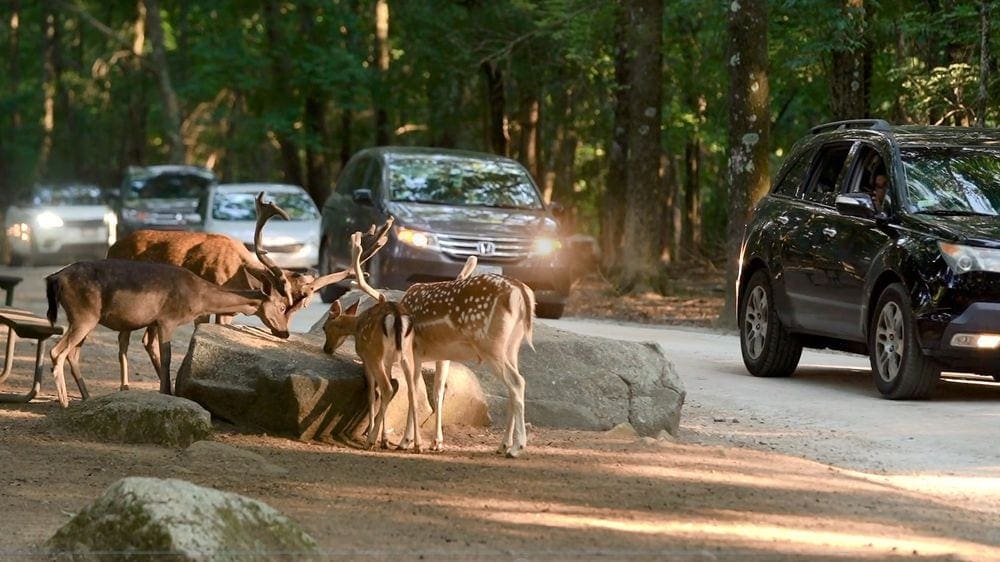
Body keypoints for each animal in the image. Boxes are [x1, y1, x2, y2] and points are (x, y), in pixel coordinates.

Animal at [324, 247, 536, 458]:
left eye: (326, 328)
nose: (327, 349)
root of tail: (521, 293)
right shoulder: (442, 355)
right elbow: (437, 392)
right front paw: (436, 443)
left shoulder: (415, 351)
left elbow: (414, 392)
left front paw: (406, 441)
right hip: (512, 346)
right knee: (513, 386)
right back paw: (503, 445)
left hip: (490, 344)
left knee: (517, 382)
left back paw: (516, 447)